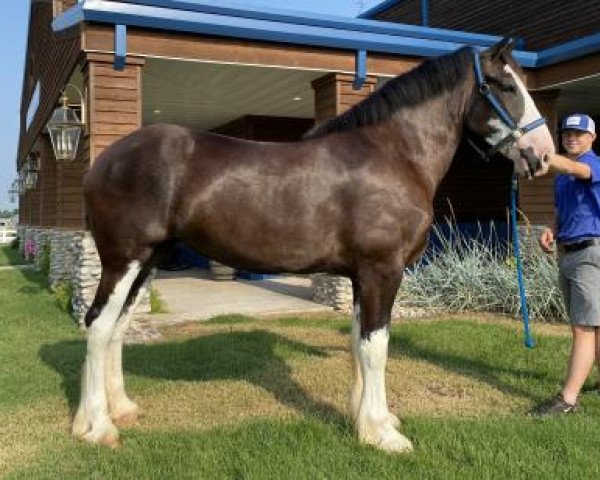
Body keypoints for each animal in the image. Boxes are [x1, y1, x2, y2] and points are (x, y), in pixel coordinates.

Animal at [72, 39, 556, 452]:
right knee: (98, 324)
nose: (543, 154)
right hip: (123, 259)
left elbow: (359, 341)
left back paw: (122, 409)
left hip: (147, 261)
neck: (394, 153)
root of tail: (104, 161)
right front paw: (383, 434)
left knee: (118, 327)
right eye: (506, 85)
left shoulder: (363, 276)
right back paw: (96, 426)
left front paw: (365, 419)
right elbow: (376, 346)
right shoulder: (382, 270)